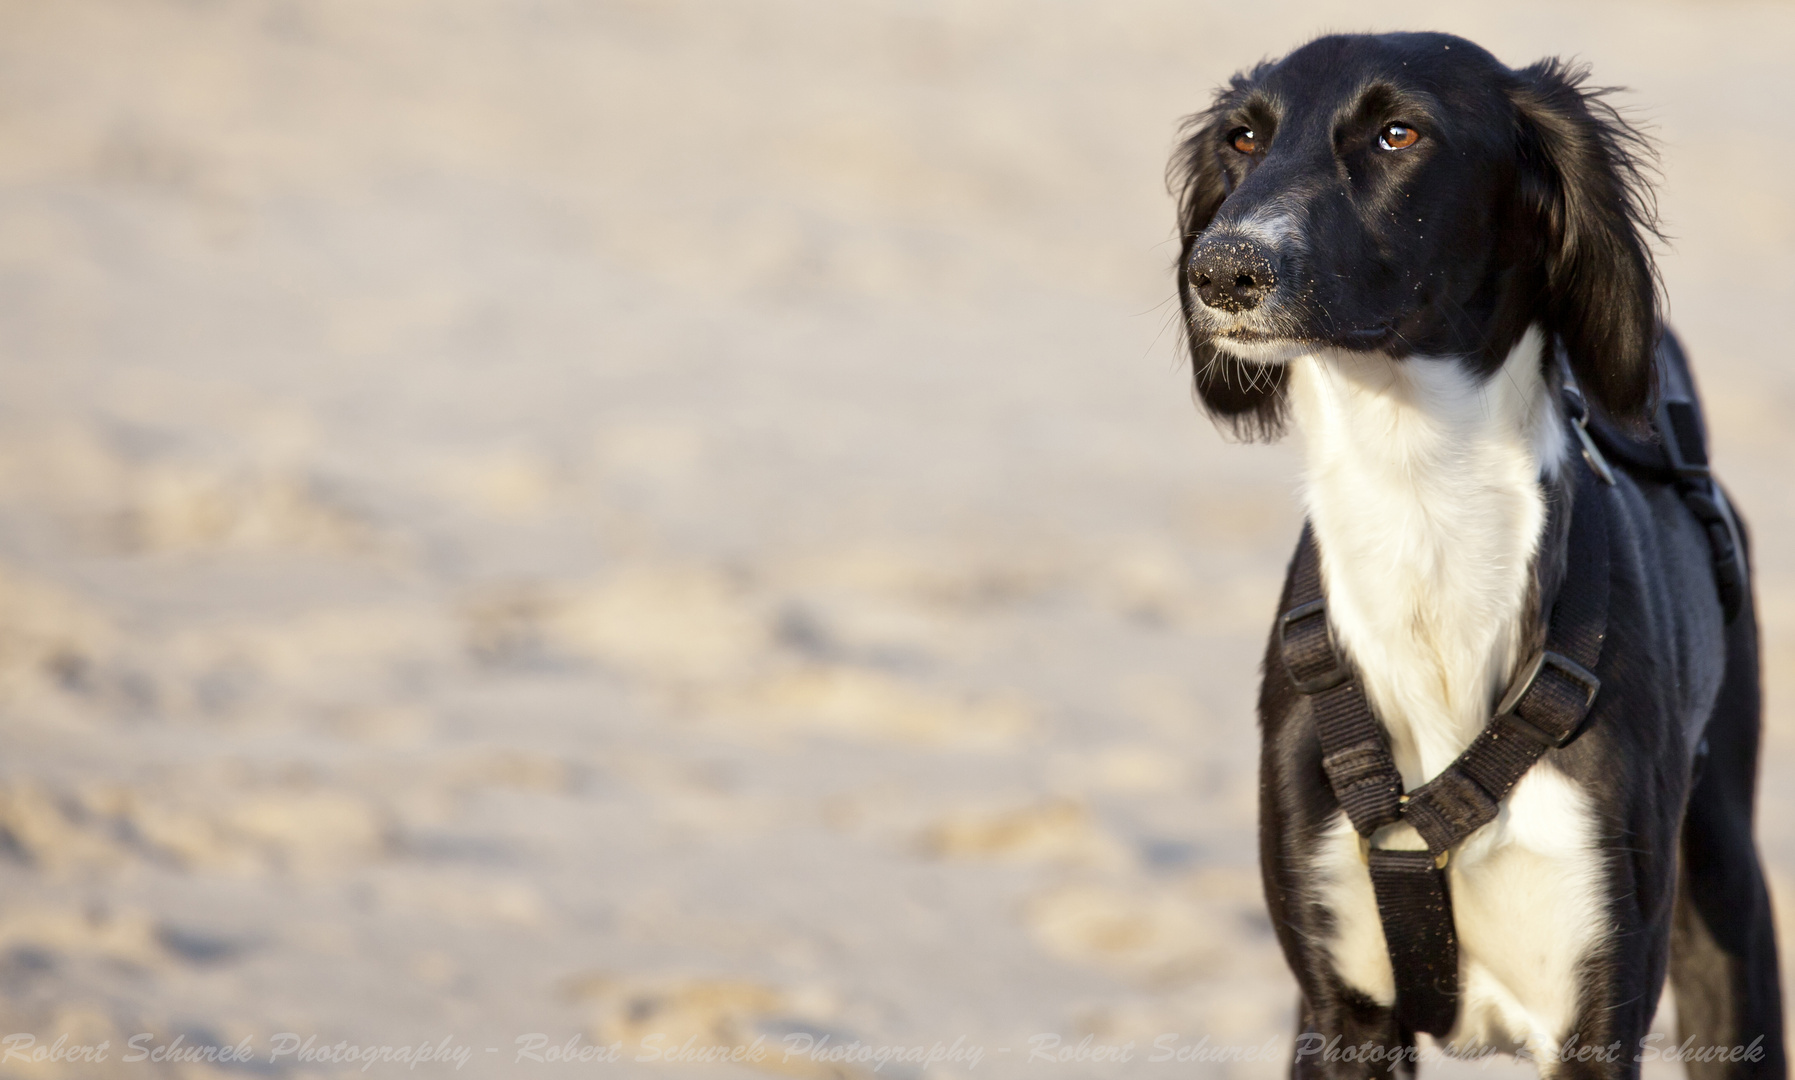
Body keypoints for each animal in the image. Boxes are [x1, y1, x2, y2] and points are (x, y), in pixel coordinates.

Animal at [1170, 29, 1787, 1069]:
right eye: (1243, 137)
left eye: (1398, 133)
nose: (1219, 272)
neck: (1420, 505)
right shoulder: (1338, 1012)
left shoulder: (1595, 1012)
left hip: (1727, 907)